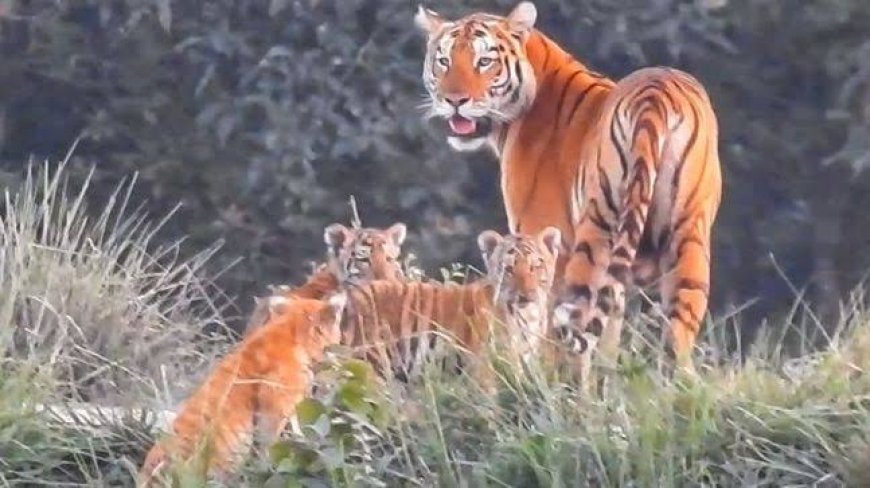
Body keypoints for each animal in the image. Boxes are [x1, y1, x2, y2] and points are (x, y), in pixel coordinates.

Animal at [416, 0, 724, 370]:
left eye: (484, 61)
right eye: (444, 61)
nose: (454, 101)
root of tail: (656, 95)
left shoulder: (543, 235)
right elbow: (609, 334)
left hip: (595, 234)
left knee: (575, 326)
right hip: (689, 238)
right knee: (677, 334)